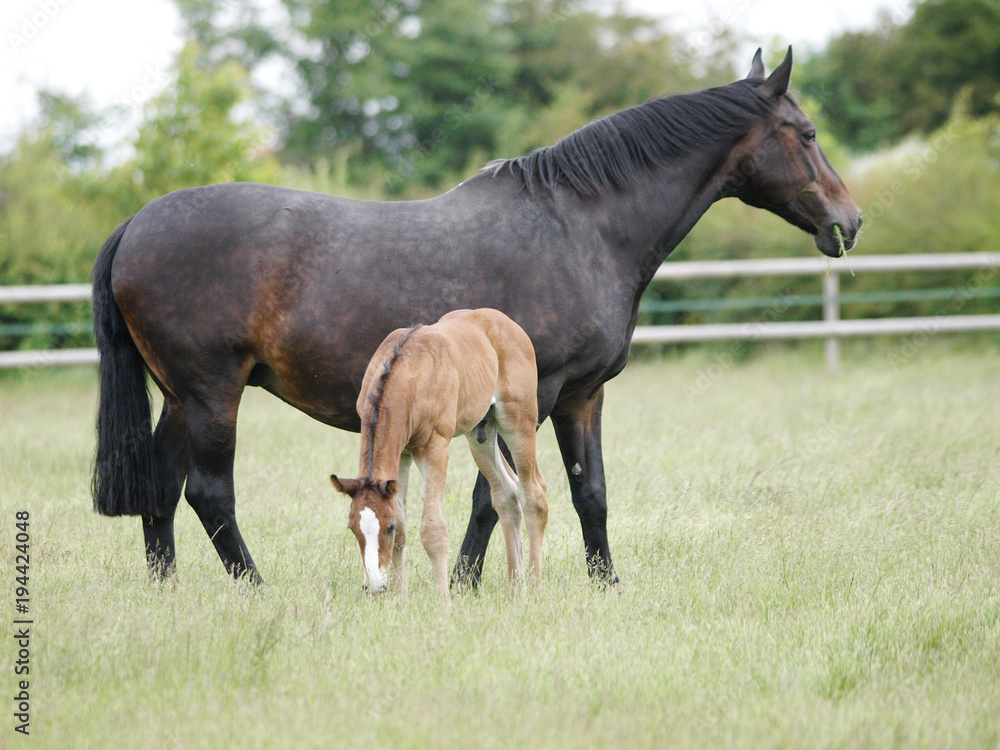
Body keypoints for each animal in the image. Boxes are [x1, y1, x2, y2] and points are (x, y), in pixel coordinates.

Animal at [329, 309, 547, 599]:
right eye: (352, 527)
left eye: (386, 527)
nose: (373, 586)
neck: (406, 370)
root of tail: (504, 320)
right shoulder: (402, 454)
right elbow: (403, 529)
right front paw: (399, 598)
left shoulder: (435, 447)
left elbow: (433, 530)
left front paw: (443, 601)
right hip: (481, 434)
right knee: (506, 494)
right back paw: (516, 586)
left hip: (518, 421)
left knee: (534, 493)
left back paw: (534, 586)